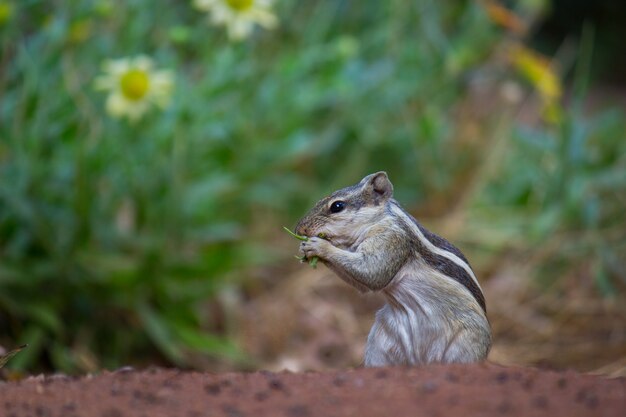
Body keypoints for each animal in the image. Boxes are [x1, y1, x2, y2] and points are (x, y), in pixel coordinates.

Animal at [290, 171, 490, 366]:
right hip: (380, 344)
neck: (379, 220)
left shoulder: (392, 241)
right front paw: (304, 248)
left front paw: (319, 246)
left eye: (337, 206)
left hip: (465, 346)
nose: (300, 229)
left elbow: (373, 272)